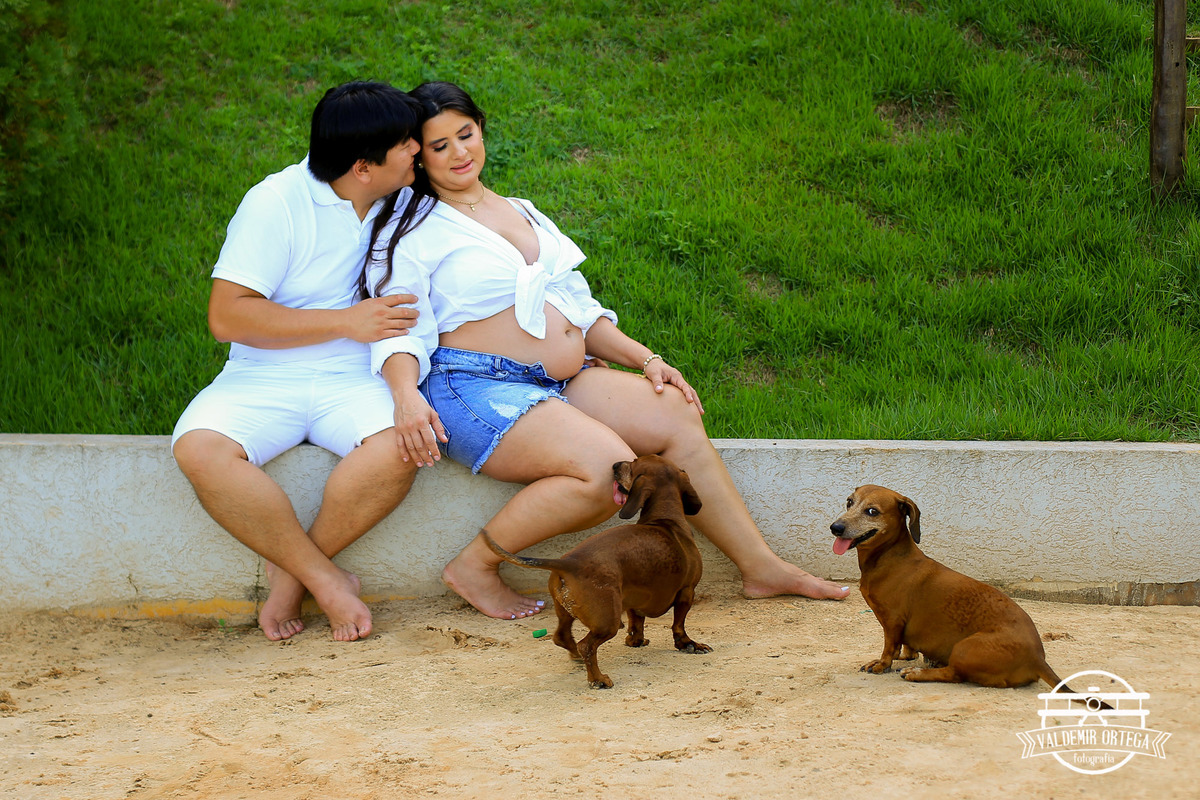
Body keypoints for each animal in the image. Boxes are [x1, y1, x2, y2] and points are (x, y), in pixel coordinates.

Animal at [485, 454, 711, 688]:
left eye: (633, 462)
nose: (615, 465)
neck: (666, 520)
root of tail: (569, 563)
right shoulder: (687, 591)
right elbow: (678, 625)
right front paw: (688, 644)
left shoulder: (634, 598)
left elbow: (636, 622)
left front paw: (635, 641)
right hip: (607, 622)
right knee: (587, 646)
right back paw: (598, 679)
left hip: (566, 611)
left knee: (562, 637)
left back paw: (576, 657)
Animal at [830, 484, 1103, 701]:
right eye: (849, 502)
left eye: (872, 511)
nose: (835, 527)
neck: (891, 557)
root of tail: (1038, 658)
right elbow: (906, 646)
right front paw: (908, 656)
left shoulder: (892, 620)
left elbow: (889, 647)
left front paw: (882, 664)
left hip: (965, 647)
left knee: (954, 674)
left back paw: (918, 673)